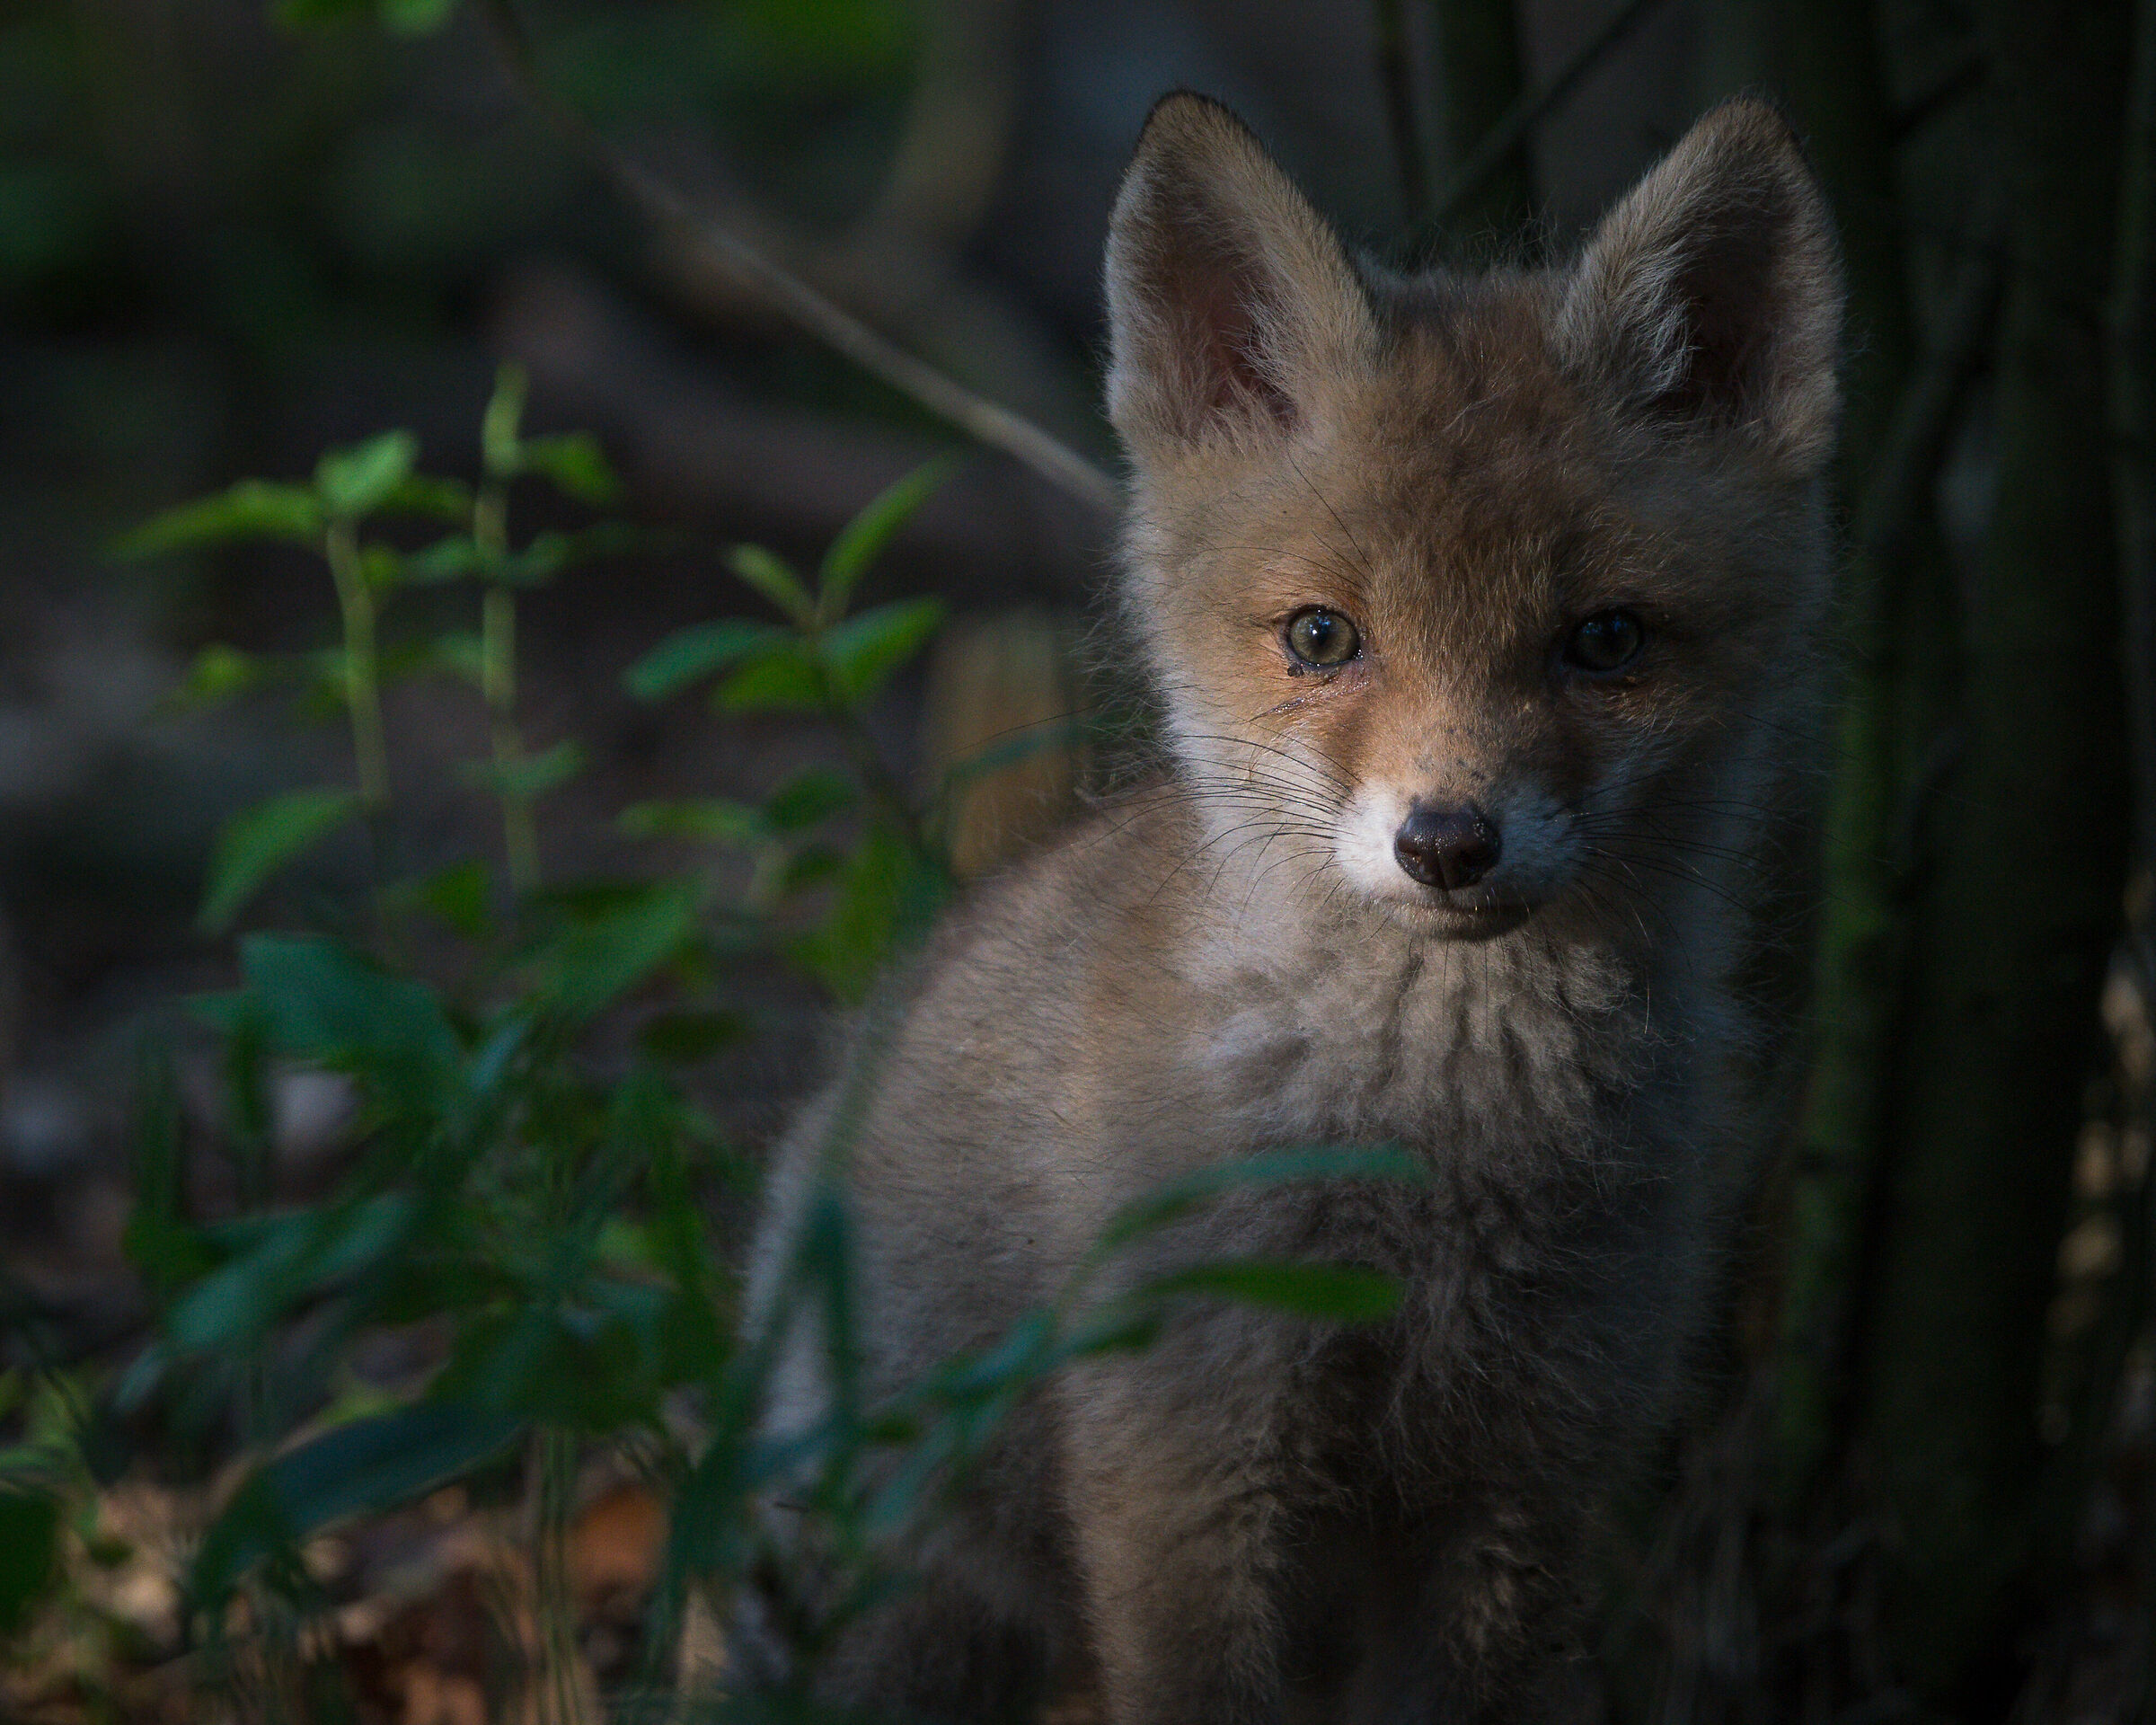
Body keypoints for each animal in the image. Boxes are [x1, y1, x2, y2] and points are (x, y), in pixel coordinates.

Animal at [742, 92, 1843, 1724]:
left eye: (1605, 642)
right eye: (1324, 637)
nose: (1447, 842)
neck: (1438, 1159)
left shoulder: (1525, 1484)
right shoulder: (1191, 1454)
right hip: (904, 1598)